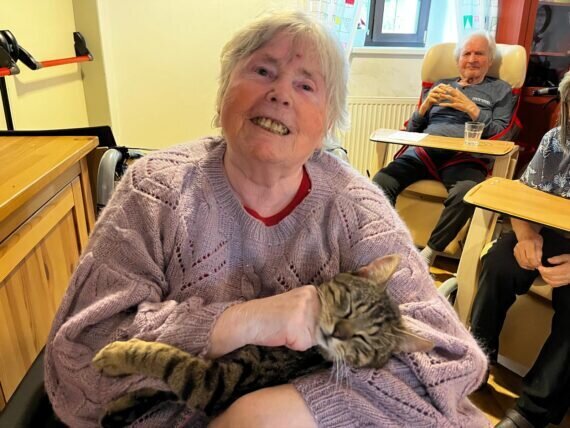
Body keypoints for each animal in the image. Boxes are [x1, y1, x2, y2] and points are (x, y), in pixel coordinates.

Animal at [92, 254, 433, 426]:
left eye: (364, 341)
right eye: (349, 303)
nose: (339, 332)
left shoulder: (216, 383)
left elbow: (164, 359)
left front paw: (117, 356)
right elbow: (158, 391)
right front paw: (123, 406)